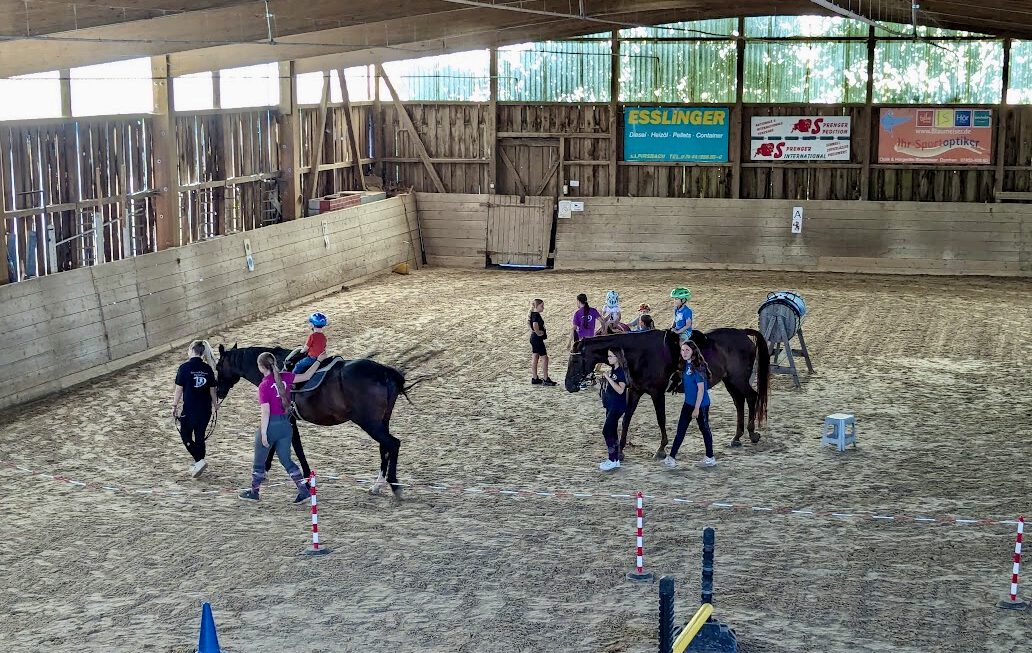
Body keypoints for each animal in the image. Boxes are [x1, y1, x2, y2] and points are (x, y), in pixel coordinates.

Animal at [213, 344, 418, 497]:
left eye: (218, 367)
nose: (219, 391)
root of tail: (384, 371)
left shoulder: (287, 419)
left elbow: (293, 446)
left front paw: (300, 477)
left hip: (370, 423)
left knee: (393, 444)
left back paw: (394, 485)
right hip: (381, 421)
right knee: (385, 448)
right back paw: (377, 485)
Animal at [565, 325, 767, 458]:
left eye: (575, 360)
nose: (568, 385)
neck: (638, 353)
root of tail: (742, 333)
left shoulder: (657, 392)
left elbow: (660, 418)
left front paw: (661, 449)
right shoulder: (635, 391)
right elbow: (627, 418)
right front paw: (621, 449)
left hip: (739, 380)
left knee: (752, 397)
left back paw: (752, 434)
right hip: (730, 381)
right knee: (739, 402)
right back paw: (737, 436)